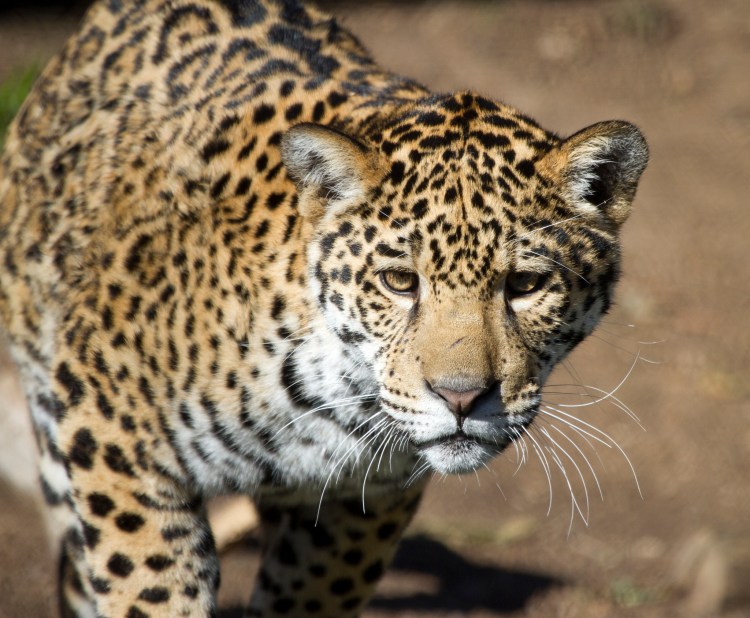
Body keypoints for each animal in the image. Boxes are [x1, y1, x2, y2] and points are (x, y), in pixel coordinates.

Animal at [0, 0, 649, 616]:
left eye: (525, 284)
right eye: (399, 281)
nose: (462, 399)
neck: (329, 392)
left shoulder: (371, 498)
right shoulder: (115, 442)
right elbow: (149, 589)